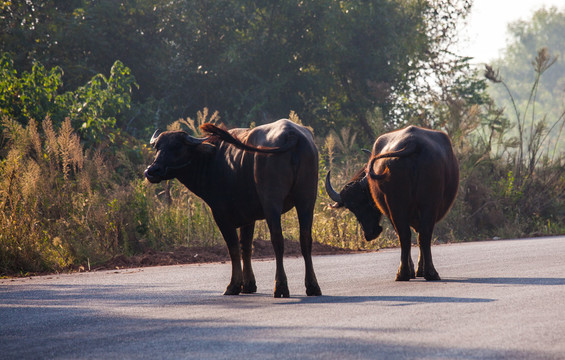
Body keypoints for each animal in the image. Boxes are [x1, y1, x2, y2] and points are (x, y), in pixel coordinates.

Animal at [144, 119, 322, 296]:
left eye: (176, 147)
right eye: (157, 147)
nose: (152, 171)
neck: (212, 160)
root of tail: (291, 133)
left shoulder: (220, 215)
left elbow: (233, 248)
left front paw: (234, 285)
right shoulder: (248, 217)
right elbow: (246, 246)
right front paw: (248, 284)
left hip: (272, 201)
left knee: (277, 239)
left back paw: (280, 287)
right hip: (307, 199)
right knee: (305, 238)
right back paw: (312, 286)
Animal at [326, 126, 458, 282]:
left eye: (368, 202)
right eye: (352, 209)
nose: (370, 234)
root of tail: (412, 142)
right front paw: (418, 269)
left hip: (406, 205)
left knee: (409, 235)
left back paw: (409, 273)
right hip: (424, 203)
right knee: (416, 235)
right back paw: (422, 273)